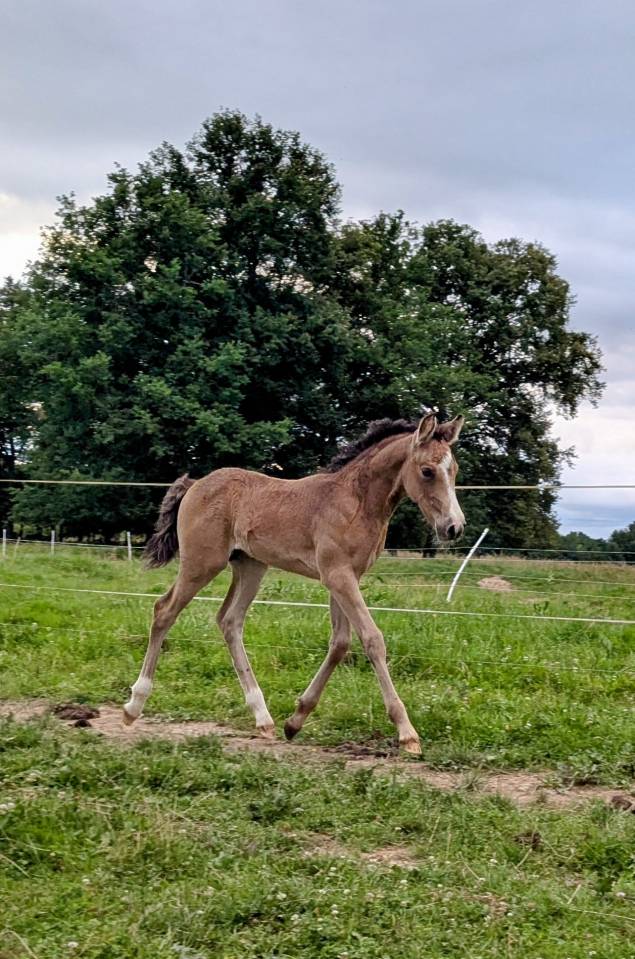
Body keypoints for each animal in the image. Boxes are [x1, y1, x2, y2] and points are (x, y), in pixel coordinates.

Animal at [123, 412, 465, 754]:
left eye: (455, 470)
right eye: (427, 471)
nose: (454, 528)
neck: (356, 500)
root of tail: (195, 484)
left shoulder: (344, 578)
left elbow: (340, 644)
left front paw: (295, 720)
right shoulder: (338, 576)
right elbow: (372, 639)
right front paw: (407, 733)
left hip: (250, 567)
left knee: (229, 621)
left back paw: (263, 718)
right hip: (201, 564)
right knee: (164, 610)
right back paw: (134, 706)